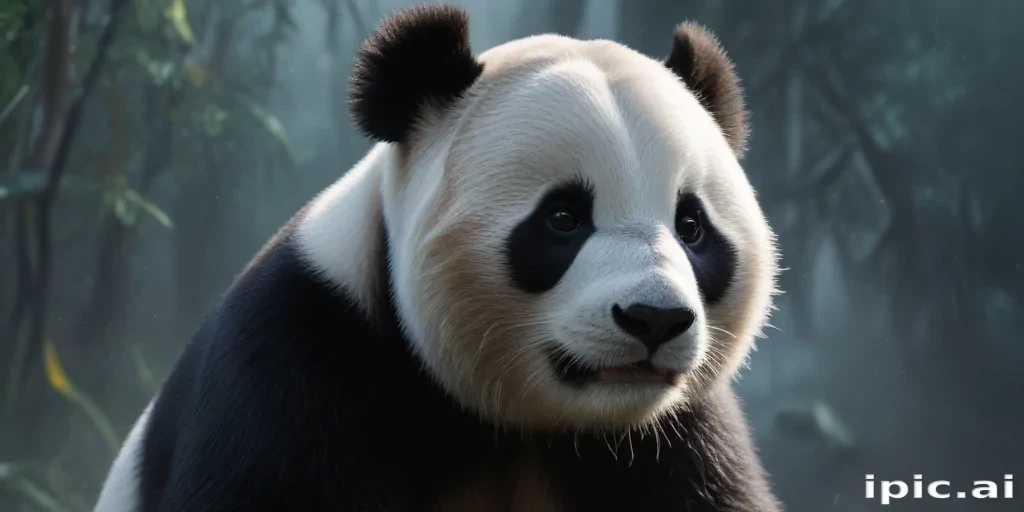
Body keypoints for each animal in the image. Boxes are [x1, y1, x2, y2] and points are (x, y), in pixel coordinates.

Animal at [93, 3, 781, 512]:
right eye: (562, 219)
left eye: (691, 227)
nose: (654, 319)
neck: (508, 425)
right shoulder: (297, 369)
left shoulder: (676, 441)